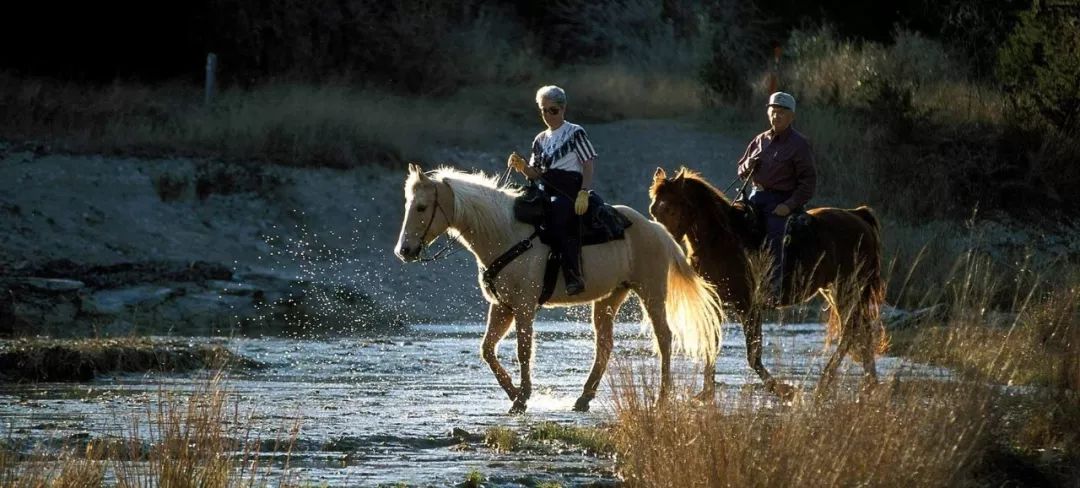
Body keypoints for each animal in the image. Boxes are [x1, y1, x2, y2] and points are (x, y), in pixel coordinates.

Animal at [393, 166, 721, 414]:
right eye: (407, 205)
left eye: (422, 207)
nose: (404, 250)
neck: (506, 233)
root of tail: (657, 230)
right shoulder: (502, 307)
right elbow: (487, 350)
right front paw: (514, 393)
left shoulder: (524, 306)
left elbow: (524, 350)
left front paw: (522, 398)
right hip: (609, 298)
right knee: (605, 345)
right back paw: (584, 398)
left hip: (651, 292)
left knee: (664, 338)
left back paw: (662, 397)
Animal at [648, 167, 885, 397]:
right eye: (653, 210)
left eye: (671, 209)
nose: (660, 242)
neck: (722, 242)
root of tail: (858, 216)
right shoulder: (714, 305)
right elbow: (711, 344)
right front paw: (706, 393)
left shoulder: (748, 307)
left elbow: (753, 355)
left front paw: (784, 390)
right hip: (836, 291)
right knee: (861, 332)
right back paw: (869, 385)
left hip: (849, 289)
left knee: (851, 332)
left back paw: (824, 384)